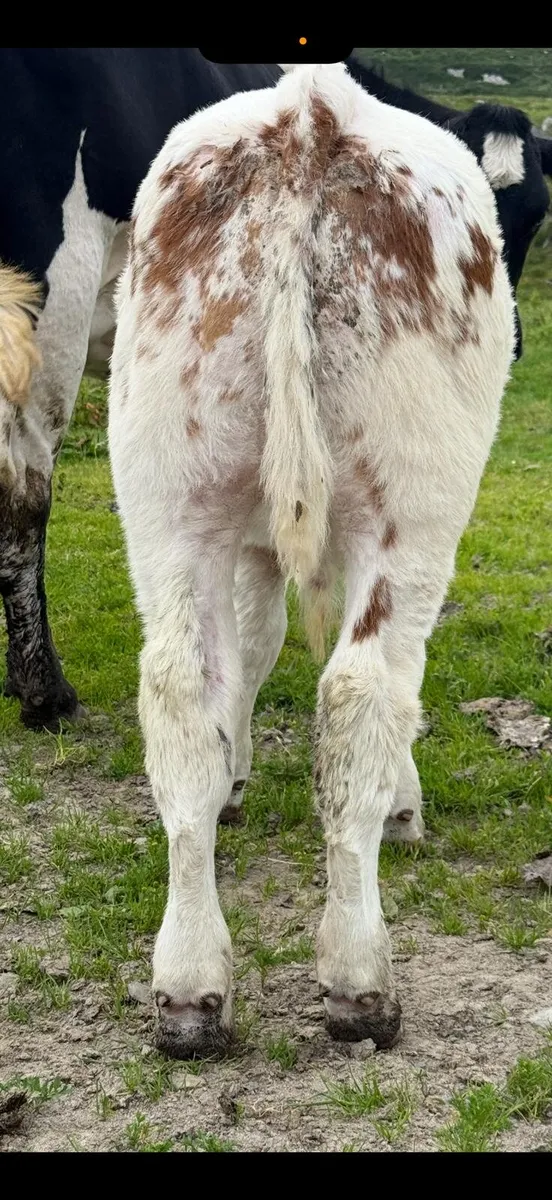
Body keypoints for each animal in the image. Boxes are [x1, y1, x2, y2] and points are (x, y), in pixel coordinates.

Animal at [107, 61, 515, 1057]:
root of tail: (309, 115)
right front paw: (402, 803)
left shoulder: (248, 542)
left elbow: (249, 651)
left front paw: (234, 777)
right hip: (414, 506)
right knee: (362, 693)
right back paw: (359, 980)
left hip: (169, 489)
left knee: (178, 689)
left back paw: (188, 988)